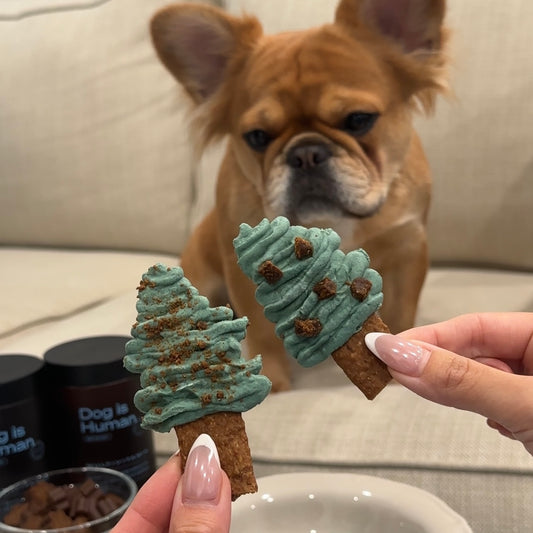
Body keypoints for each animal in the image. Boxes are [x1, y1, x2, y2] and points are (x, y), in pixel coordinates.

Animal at [151, 0, 448, 390]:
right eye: (257, 137)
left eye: (359, 120)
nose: (305, 153)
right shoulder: (244, 276)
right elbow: (262, 336)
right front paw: (277, 388)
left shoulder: (408, 248)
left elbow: (401, 314)